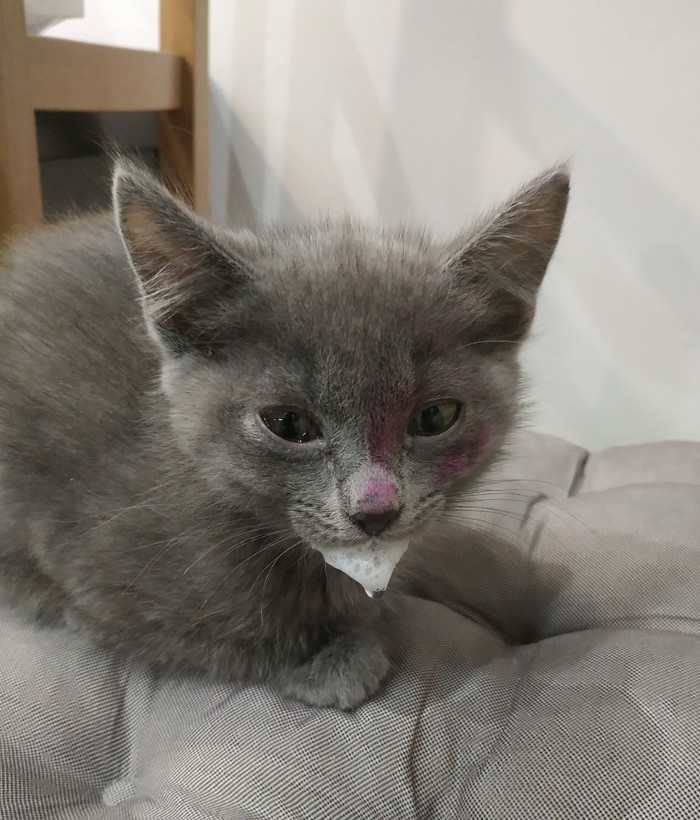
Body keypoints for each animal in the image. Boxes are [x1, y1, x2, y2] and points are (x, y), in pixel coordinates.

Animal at [0, 162, 568, 712]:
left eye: (435, 417)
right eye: (289, 425)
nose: (375, 510)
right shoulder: (92, 571)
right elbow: (205, 636)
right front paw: (335, 661)